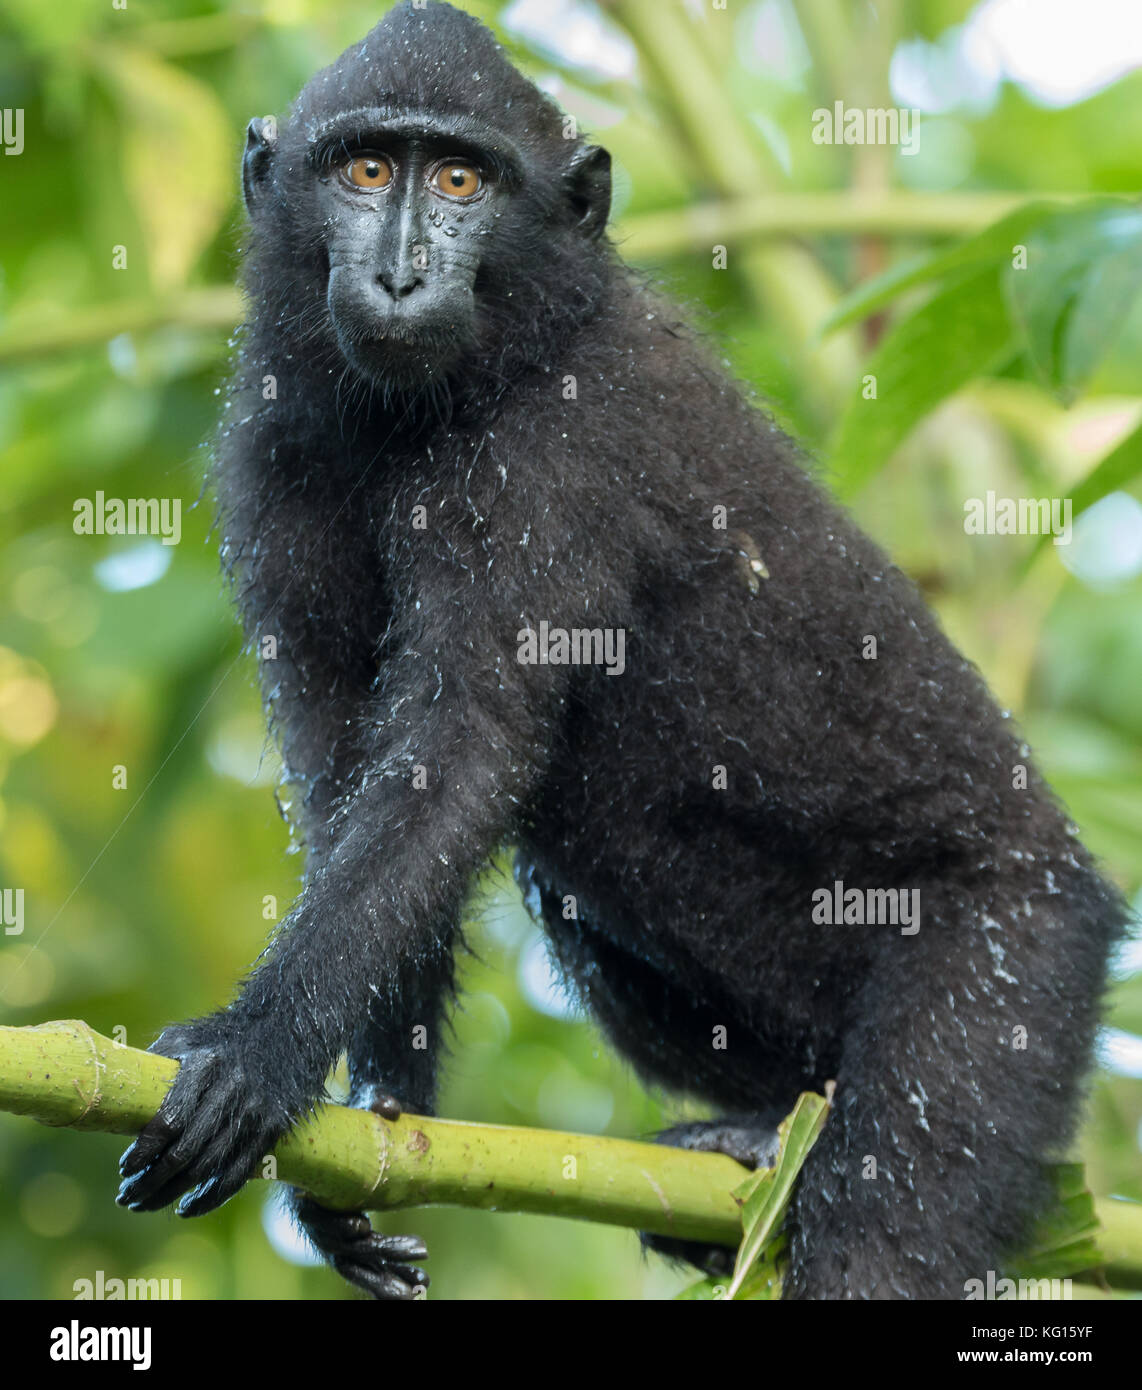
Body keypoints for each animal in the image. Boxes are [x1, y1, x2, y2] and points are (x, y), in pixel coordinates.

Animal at [116, 0, 1126, 1300]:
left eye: (461, 179)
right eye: (365, 170)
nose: (399, 273)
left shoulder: (556, 453)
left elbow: (461, 748)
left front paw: (254, 1051)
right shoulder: (273, 445)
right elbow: (348, 763)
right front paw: (371, 1134)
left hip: (1007, 973)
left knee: (885, 1220)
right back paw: (755, 1136)